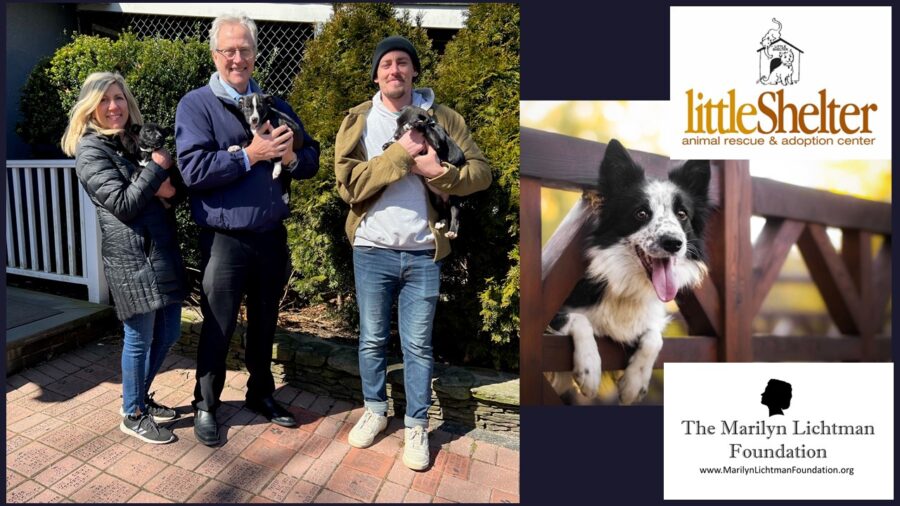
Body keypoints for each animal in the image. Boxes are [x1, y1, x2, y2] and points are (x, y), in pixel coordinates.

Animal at [382, 105, 464, 239]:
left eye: (404, 123)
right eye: (397, 122)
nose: (395, 136)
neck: (430, 123)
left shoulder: (437, 142)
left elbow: (425, 128)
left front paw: (415, 125)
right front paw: (388, 144)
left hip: (455, 199)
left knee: (455, 215)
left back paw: (452, 231)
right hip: (436, 200)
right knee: (443, 211)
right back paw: (440, 222)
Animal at [548, 140, 712, 406]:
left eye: (682, 214)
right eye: (641, 213)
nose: (673, 243)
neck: (626, 286)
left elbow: (654, 337)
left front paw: (634, 384)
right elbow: (578, 319)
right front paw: (589, 371)